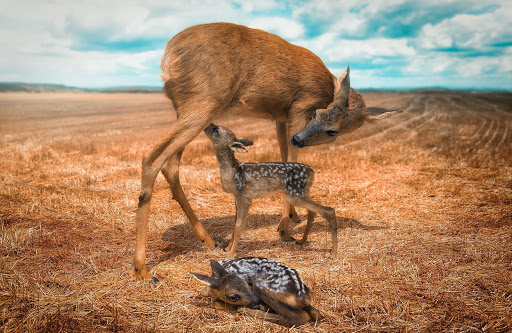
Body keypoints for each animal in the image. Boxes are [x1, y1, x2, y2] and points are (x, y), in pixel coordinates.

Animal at [130, 22, 402, 280]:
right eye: (317, 114)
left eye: (333, 131)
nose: (300, 139)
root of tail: (167, 57)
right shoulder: (298, 108)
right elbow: (291, 156)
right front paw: (284, 229)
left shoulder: (280, 118)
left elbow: (284, 155)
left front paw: (293, 217)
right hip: (203, 104)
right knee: (152, 158)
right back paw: (142, 269)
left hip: (186, 110)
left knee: (170, 165)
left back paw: (207, 240)